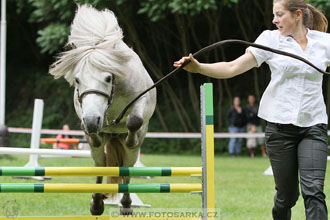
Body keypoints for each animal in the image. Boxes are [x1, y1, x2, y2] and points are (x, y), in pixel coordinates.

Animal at [49, 4, 156, 215]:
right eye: (77, 80)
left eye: (108, 78)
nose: (92, 122)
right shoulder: (84, 111)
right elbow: (91, 132)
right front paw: (92, 132)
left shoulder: (143, 101)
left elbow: (134, 121)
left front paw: (130, 137)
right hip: (98, 151)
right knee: (101, 164)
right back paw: (97, 203)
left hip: (131, 153)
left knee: (126, 168)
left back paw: (126, 205)